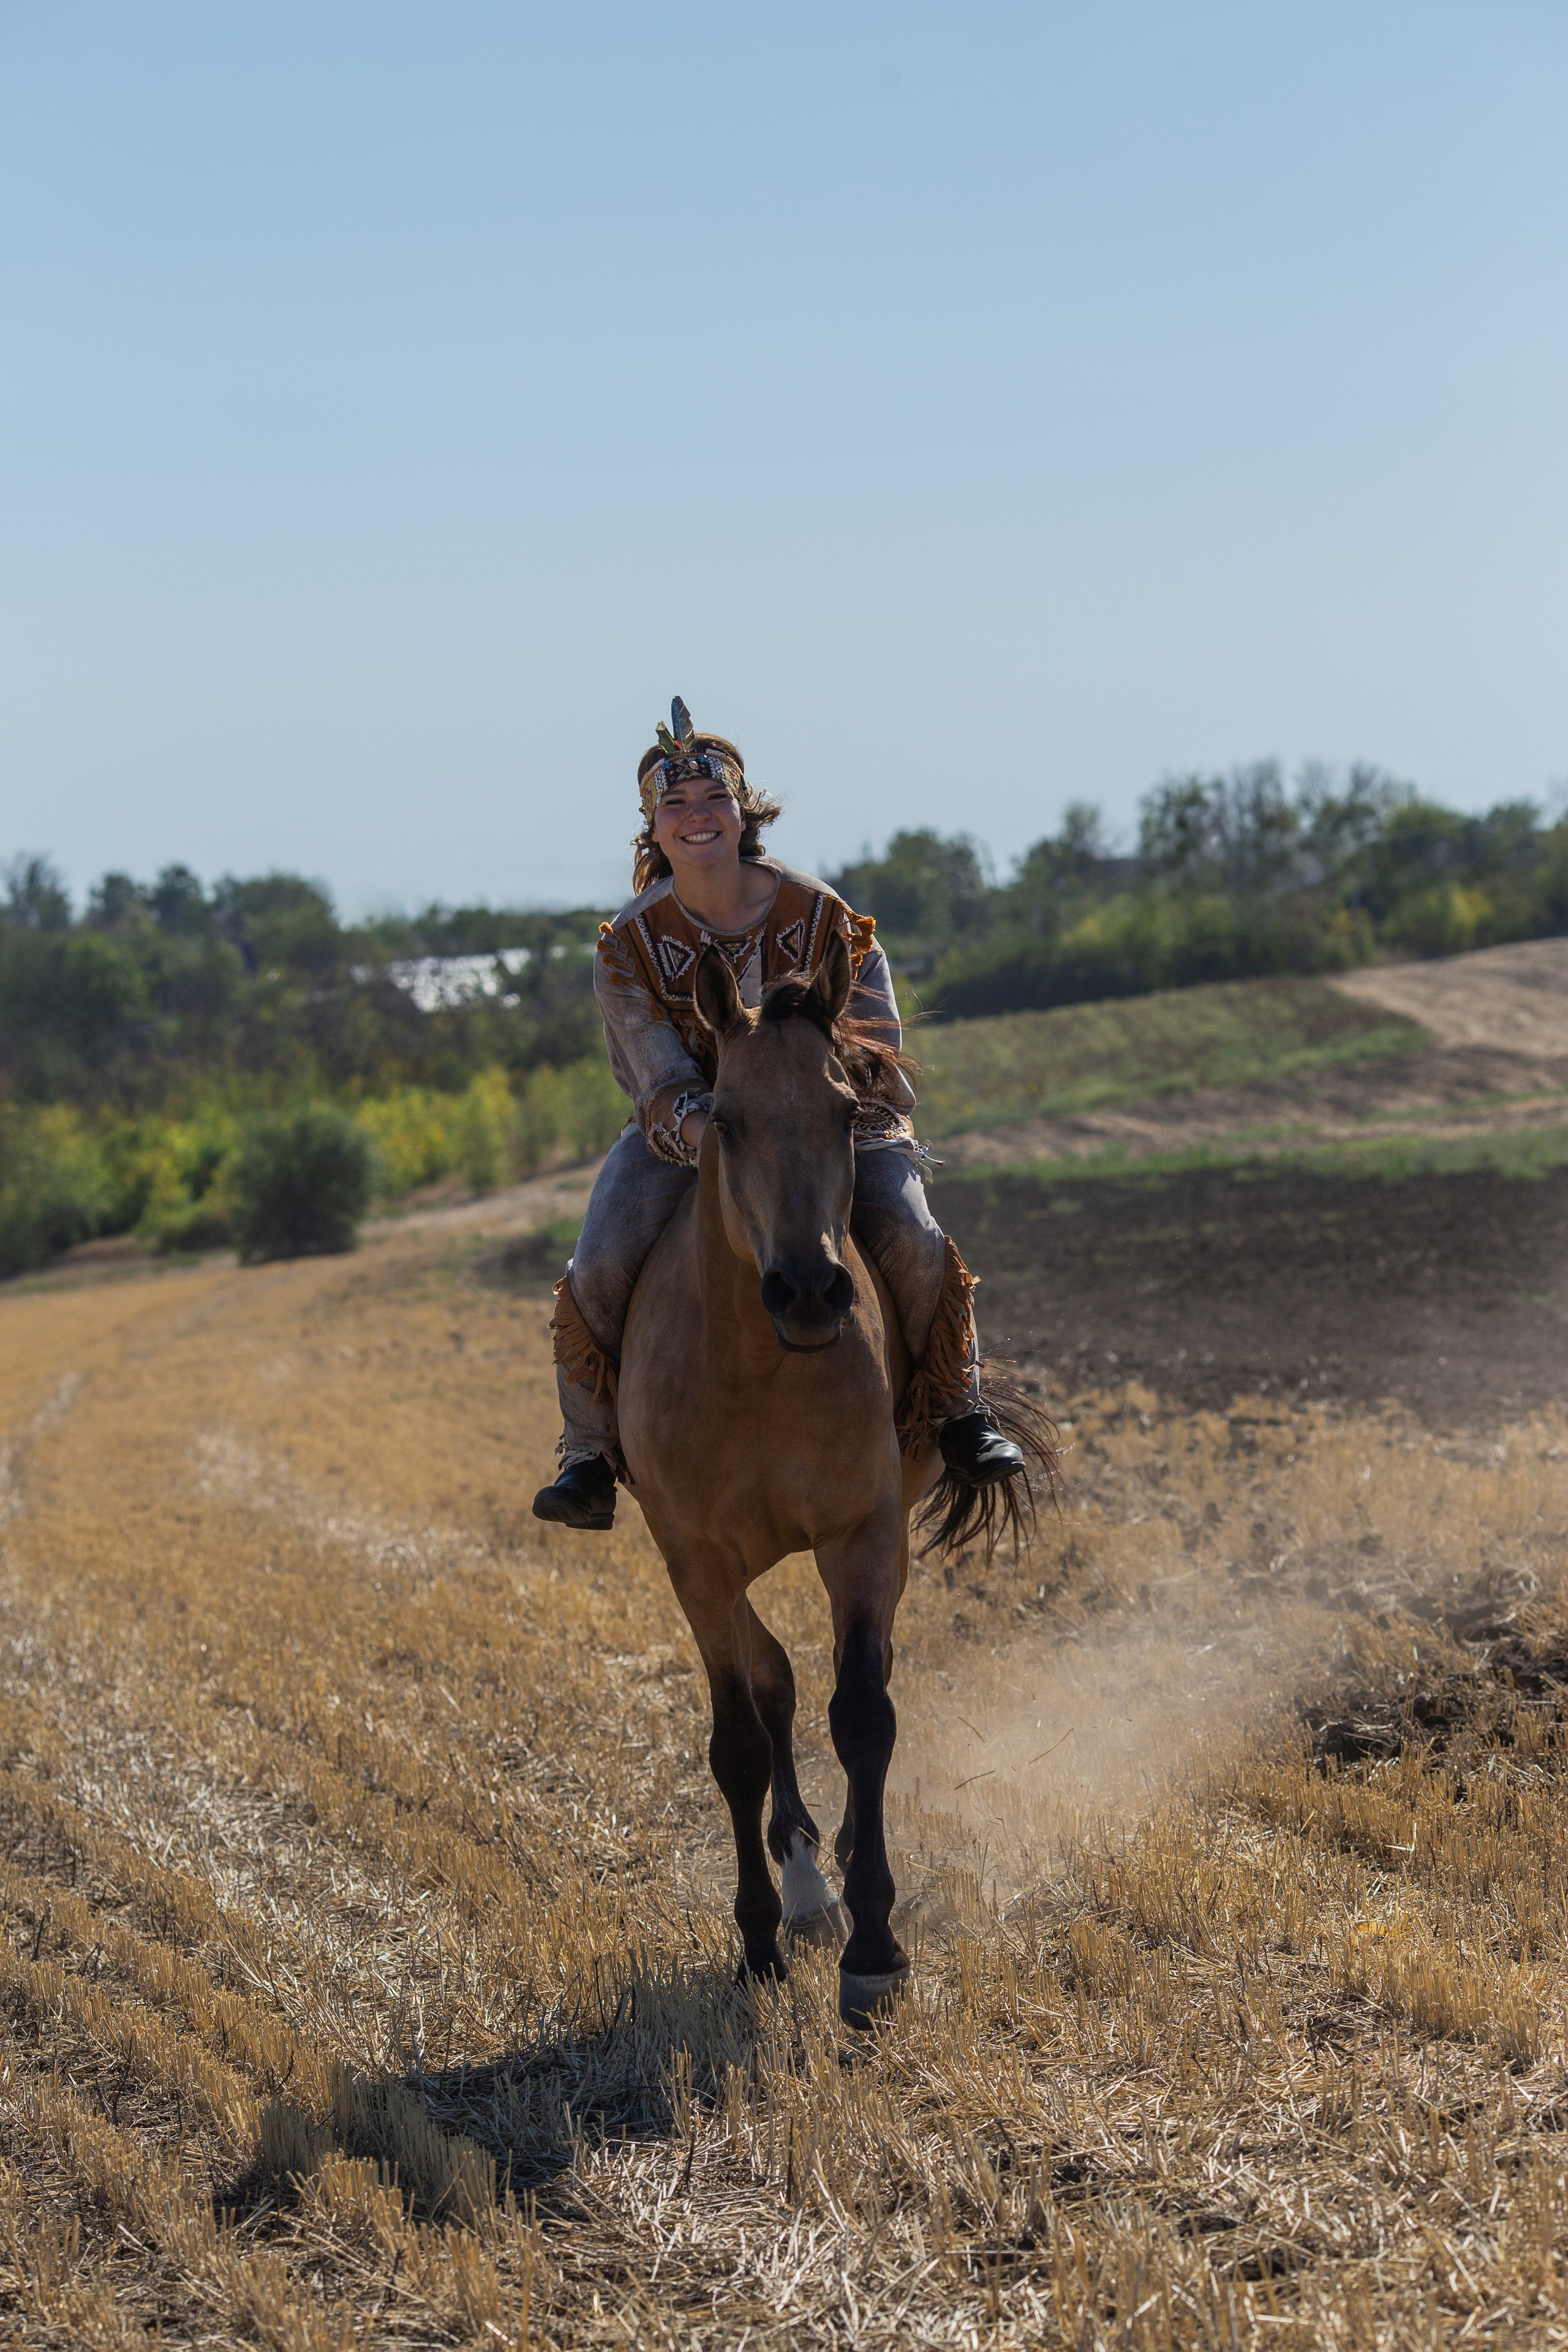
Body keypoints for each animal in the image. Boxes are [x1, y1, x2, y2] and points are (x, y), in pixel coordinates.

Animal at [562, 930, 1053, 2026]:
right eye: (725, 1119)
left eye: (841, 1109)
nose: (812, 1290)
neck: (755, 1366)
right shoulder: (694, 1560)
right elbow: (740, 1740)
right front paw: (758, 1944)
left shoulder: (864, 1535)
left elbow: (863, 1716)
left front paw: (875, 1950)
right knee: (773, 1682)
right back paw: (798, 1884)